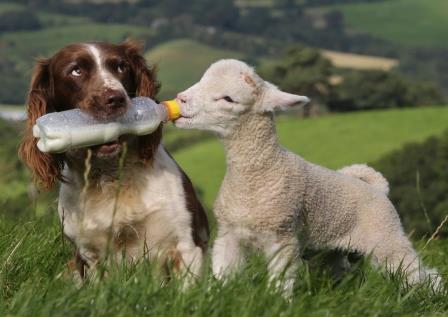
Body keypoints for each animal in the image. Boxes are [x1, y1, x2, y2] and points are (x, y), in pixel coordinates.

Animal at [17, 40, 210, 280]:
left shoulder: (186, 245)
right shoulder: (90, 255)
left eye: (121, 67)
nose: (116, 98)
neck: (111, 175)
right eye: (76, 70)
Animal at [173, 58, 442, 292]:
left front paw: (278, 303)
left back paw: (431, 295)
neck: (259, 173)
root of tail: (377, 188)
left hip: (386, 237)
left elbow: (280, 282)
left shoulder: (283, 237)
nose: (180, 99)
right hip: (330, 251)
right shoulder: (229, 235)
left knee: (419, 273)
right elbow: (222, 275)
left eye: (228, 98)